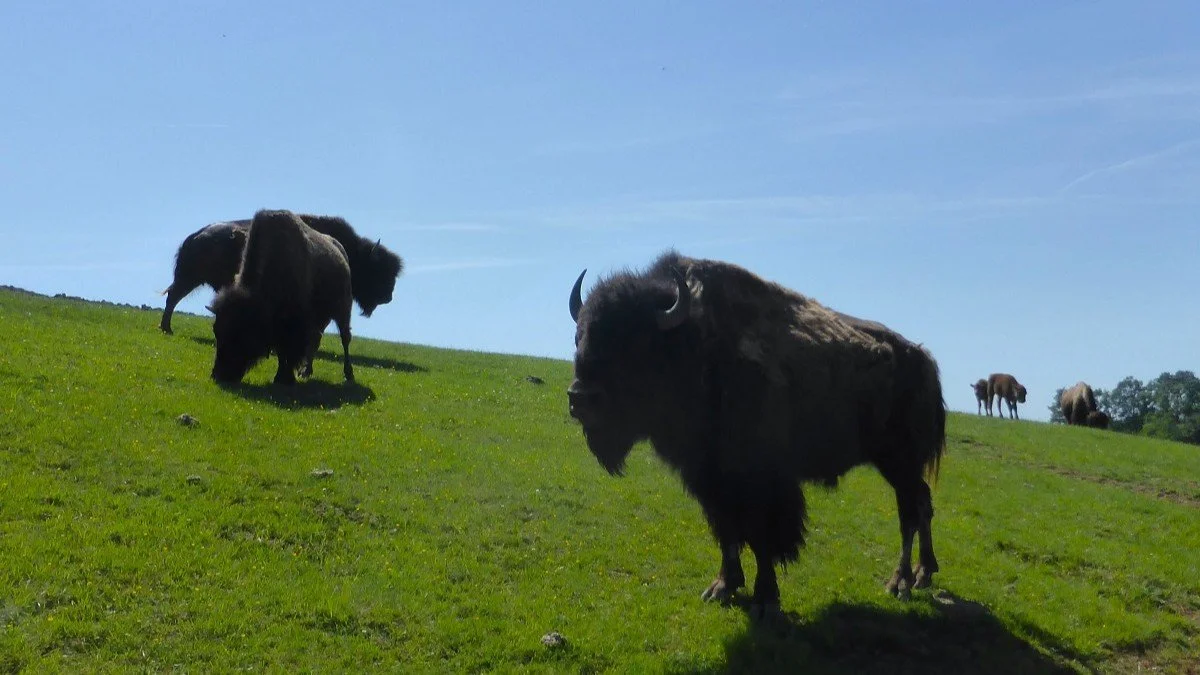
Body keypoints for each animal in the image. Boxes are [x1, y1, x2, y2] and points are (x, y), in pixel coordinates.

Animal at [160, 214, 403, 334]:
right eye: (378, 271)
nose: (388, 297)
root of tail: (196, 235)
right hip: (189, 278)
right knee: (173, 297)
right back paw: (167, 328)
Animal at [209, 210, 354, 386]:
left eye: (240, 332)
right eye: (216, 330)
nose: (218, 376)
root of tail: (341, 251)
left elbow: (287, 350)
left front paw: (285, 377)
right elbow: (281, 351)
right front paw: (282, 376)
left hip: (343, 310)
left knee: (345, 338)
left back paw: (349, 375)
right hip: (322, 318)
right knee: (316, 340)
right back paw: (305, 372)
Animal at [566, 251, 946, 616]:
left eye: (635, 341)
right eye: (578, 336)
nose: (579, 399)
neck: (697, 346)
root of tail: (924, 360)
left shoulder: (763, 483)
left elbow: (763, 537)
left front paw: (766, 599)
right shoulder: (711, 481)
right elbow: (728, 531)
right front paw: (722, 586)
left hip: (899, 461)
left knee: (909, 513)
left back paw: (900, 583)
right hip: (898, 465)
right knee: (922, 503)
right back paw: (924, 574)